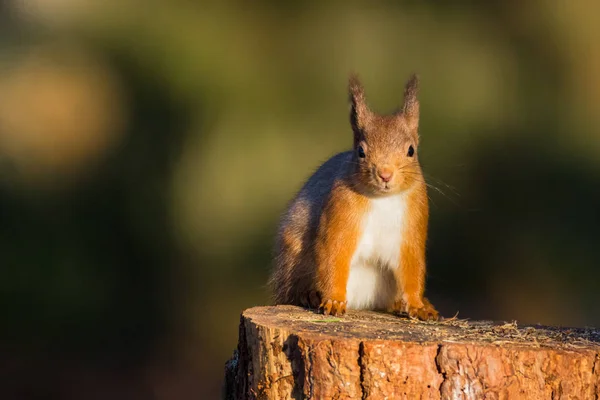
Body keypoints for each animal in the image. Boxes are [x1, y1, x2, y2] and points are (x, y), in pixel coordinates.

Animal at [270, 73, 438, 320]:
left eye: (411, 151)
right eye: (360, 151)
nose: (385, 174)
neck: (382, 200)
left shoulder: (411, 229)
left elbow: (412, 269)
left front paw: (418, 305)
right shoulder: (339, 217)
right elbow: (333, 256)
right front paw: (334, 301)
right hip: (293, 259)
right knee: (293, 288)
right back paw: (309, 295)